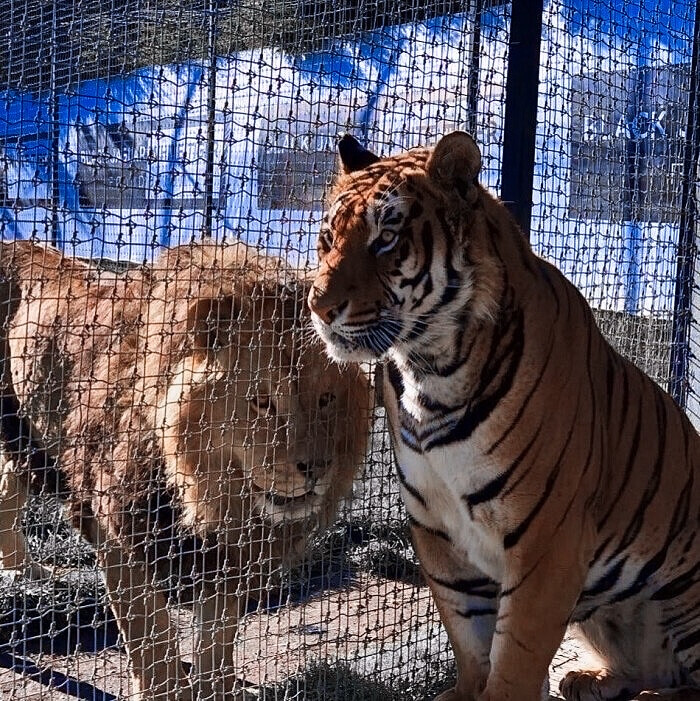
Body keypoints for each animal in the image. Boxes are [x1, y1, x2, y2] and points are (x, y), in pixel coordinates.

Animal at [0, 238, 372, 696]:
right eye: (262, 402)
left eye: (326, 399)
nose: (317, 468)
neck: (200, 487)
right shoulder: (119, 530)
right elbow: (152, 638)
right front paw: (165, 688)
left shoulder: (225, 554)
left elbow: (218, 636)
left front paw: (217, 689)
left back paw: (27, 572)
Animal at [308, 131, 700, 700]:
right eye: (327, 237)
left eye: (386, 238)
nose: (318, 307)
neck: (430, 369)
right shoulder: (436, 531)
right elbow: (470, 642)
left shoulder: (548, 538)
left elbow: (514, 657)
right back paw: (589, 680)